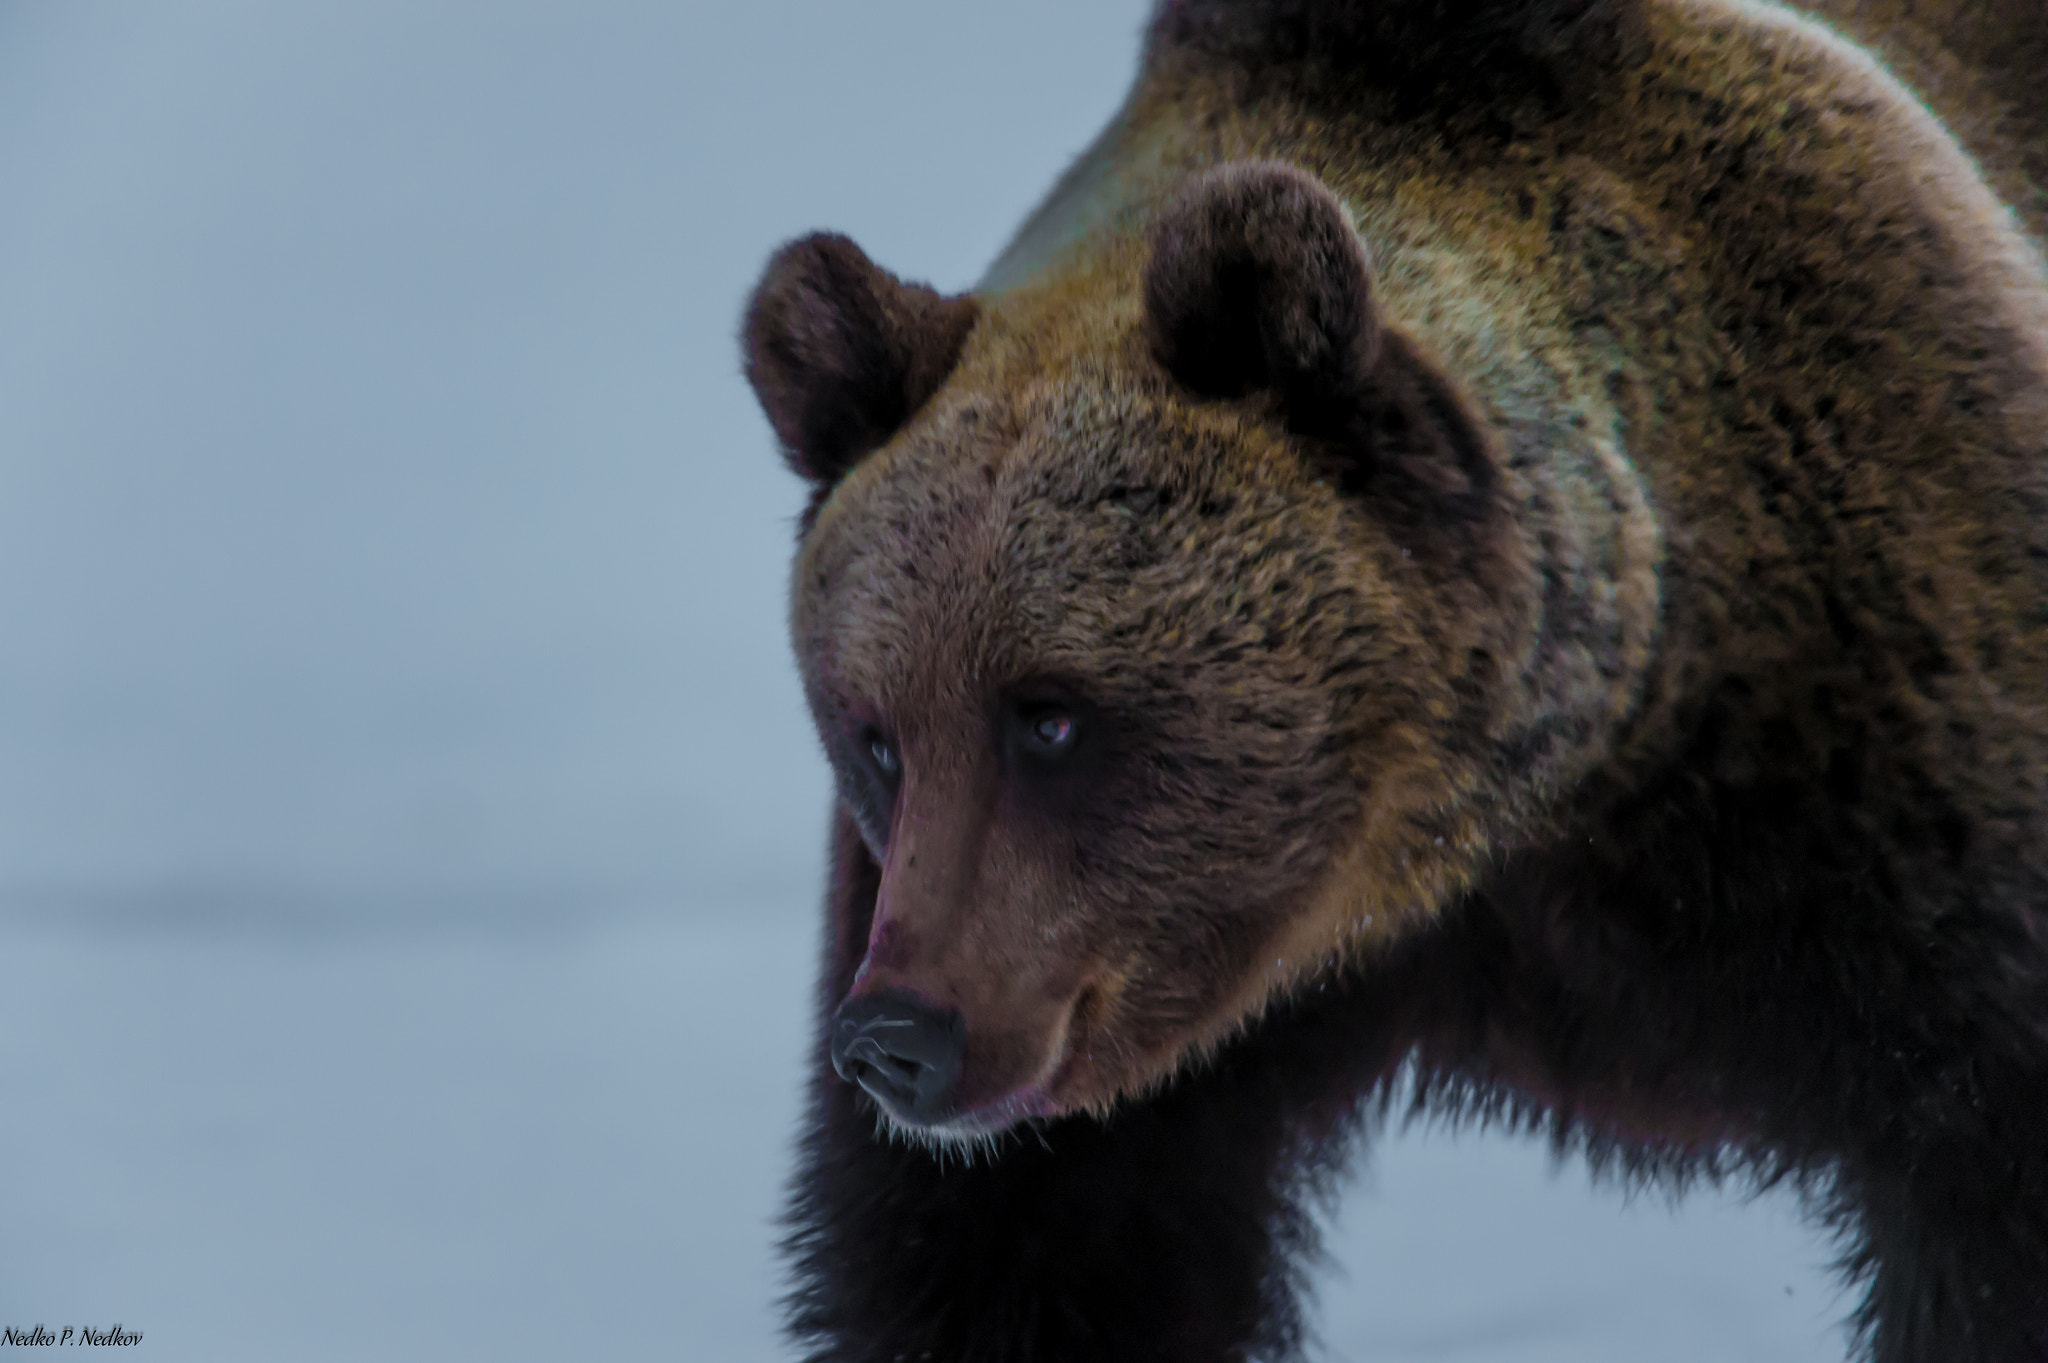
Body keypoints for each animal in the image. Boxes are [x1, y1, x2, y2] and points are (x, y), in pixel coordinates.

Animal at [739, 1, 2048, 1359]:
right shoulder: (1095, 1054)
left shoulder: (1884, 783)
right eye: (875, 732)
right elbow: (1011, 1263)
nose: (897, 1036)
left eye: (1049, 716)